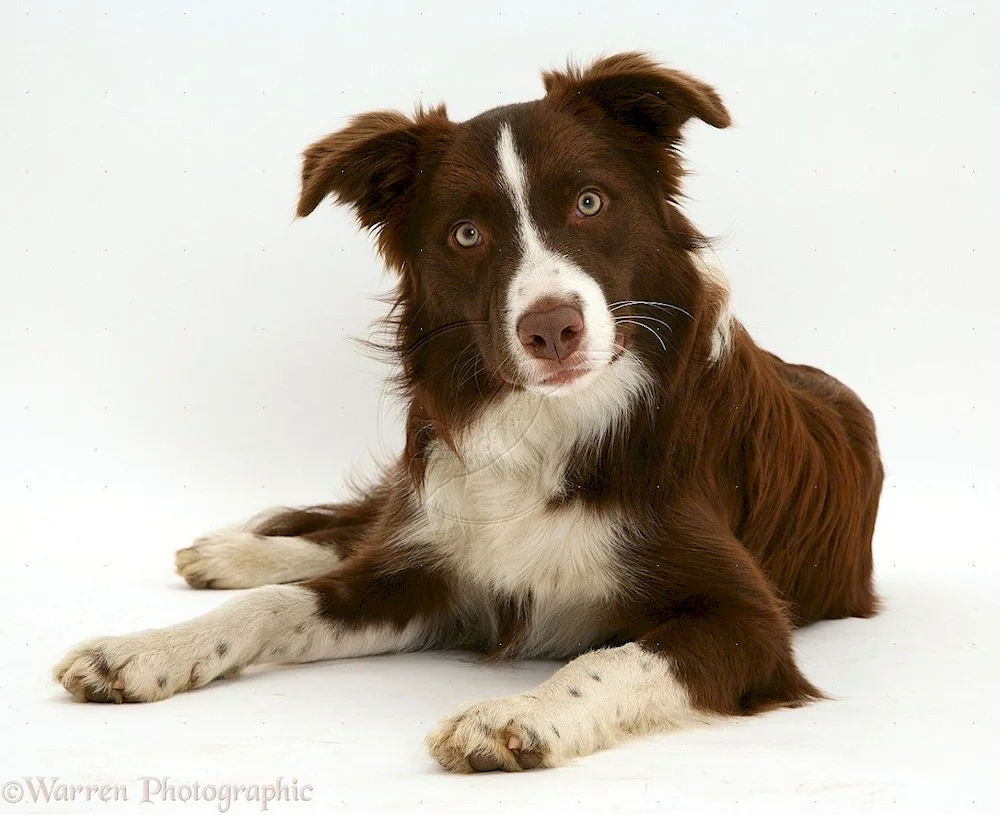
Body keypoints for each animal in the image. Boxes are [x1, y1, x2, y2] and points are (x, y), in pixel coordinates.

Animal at [52, 54, 884, 776]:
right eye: (467, 234)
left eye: (590, 202)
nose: (551, 328)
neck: (548, 420)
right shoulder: (425, 574)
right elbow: (277, 604)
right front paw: (144, 649)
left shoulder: (747, 619)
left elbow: (609, 657)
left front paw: (516, 715)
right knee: (355, 531)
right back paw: (230, 553)